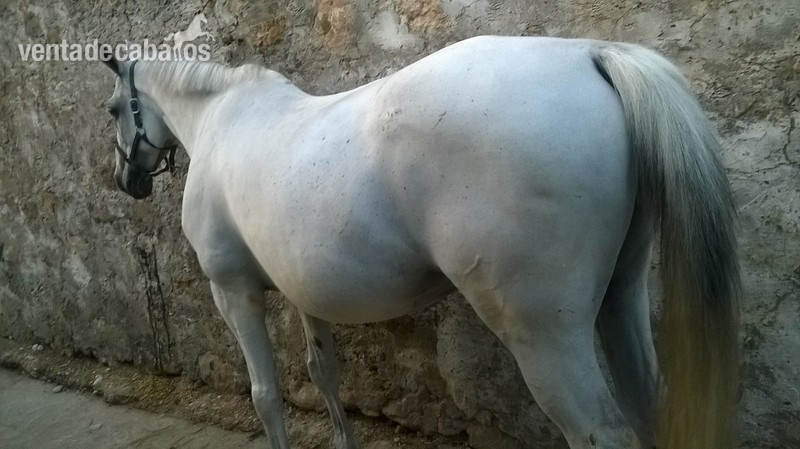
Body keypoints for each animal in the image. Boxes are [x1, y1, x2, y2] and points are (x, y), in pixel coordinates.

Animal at [100, 36, 740, 449]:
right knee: (648, 400)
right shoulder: (306, 293)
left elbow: (266, 394)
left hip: (544, 333)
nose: (127, 180)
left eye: (112, 110)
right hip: (621, 295)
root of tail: (589, 54)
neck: (222, 119)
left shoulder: (234, 292)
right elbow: (322, 373)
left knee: (597, 430)